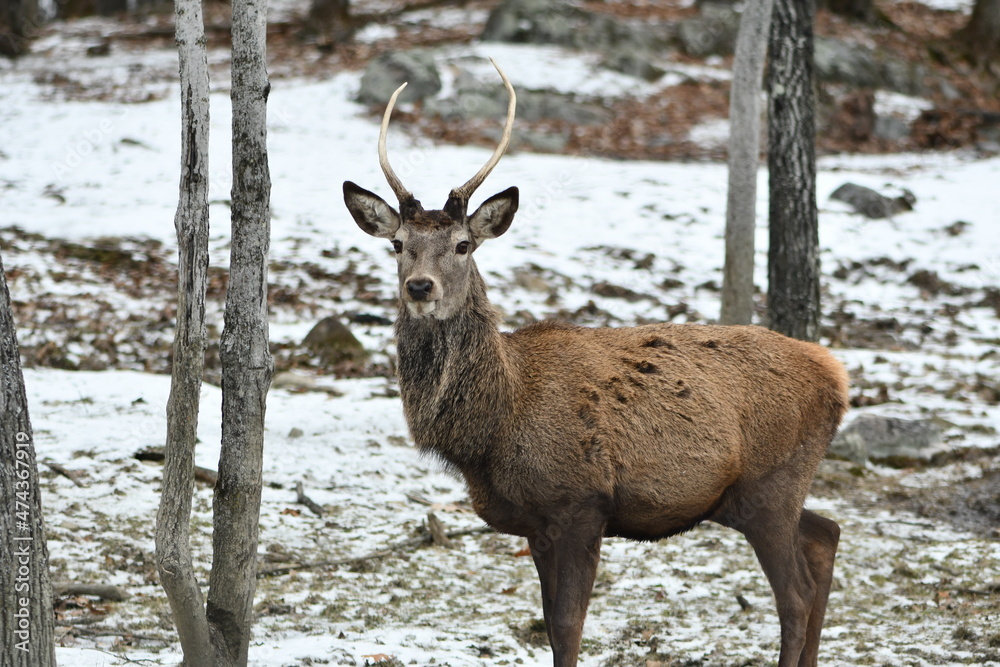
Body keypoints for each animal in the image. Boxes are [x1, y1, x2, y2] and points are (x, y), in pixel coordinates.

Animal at [346, 58, 852, 667]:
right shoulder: (536, 524)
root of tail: (837, 376)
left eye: (464, 244)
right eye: (398, 244)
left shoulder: (580, 504)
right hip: (750, 494)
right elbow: (549, 624)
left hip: (770, 485)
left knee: (795, 595)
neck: (494, 428)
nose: (420, 287)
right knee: (825, 535)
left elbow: (567, 627)